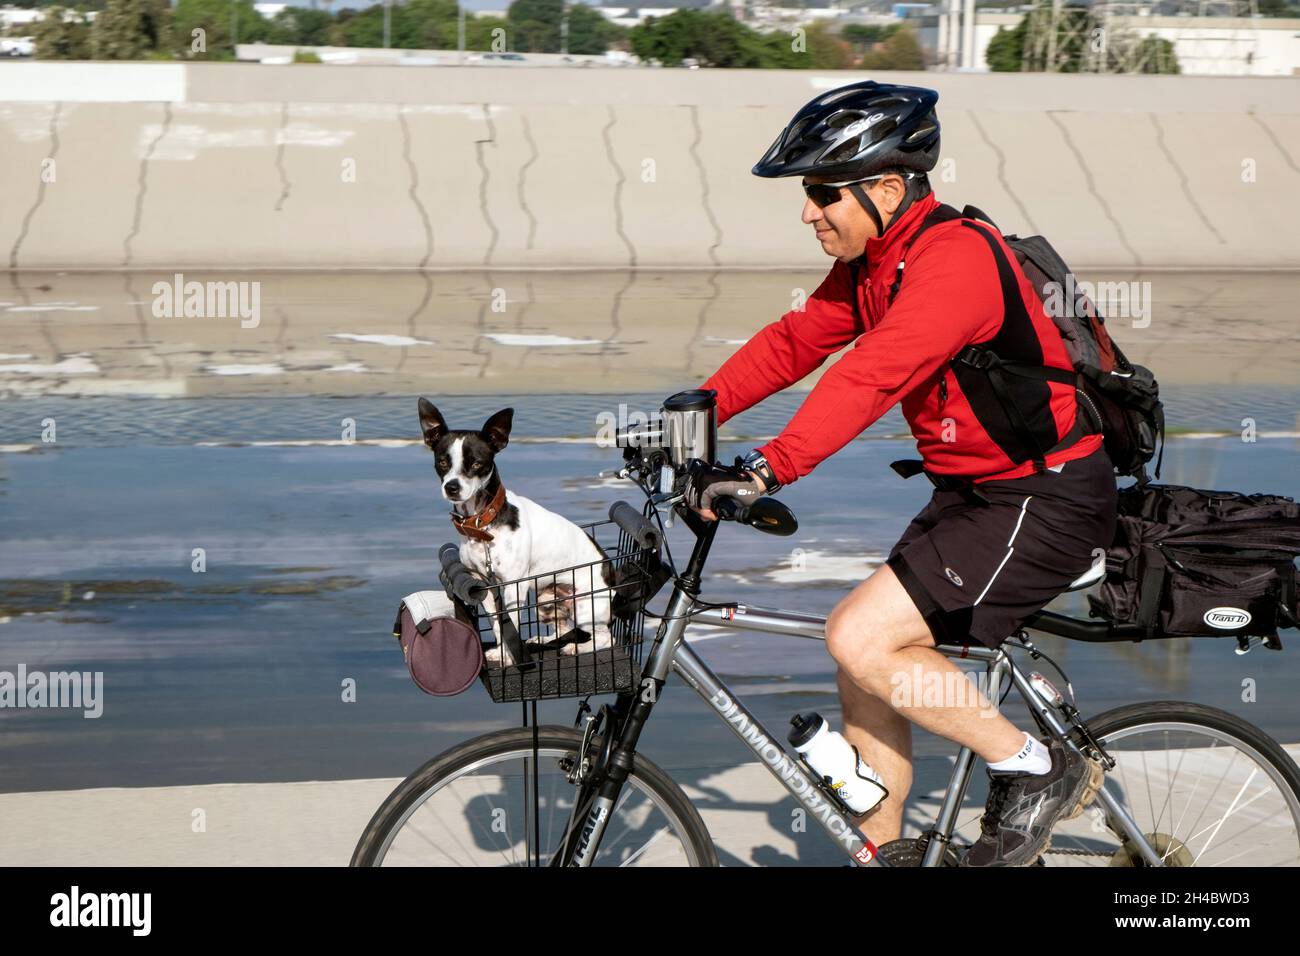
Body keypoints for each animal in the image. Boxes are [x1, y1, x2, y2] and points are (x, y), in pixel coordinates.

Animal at [418, 398, 616, 665]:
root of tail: (611, 573)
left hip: (587, 607)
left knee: (606, 638)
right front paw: (504, 652)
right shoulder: (485, 588)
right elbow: (499, 626)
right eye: (442, 462)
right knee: (564, 627)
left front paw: (509, 657)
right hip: (546, 601)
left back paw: (577, 648)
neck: (483, 525)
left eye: (477, 464)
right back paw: (544, 640)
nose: (452, 487)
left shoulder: (514, 586)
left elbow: (510, 622)